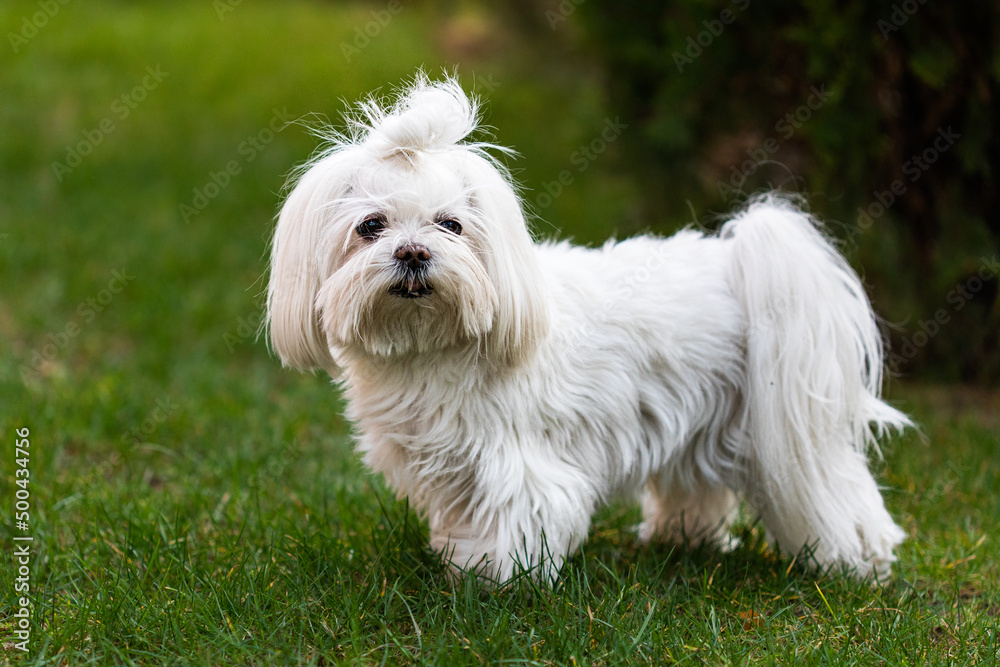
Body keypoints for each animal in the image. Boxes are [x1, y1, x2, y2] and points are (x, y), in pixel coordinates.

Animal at [262, 74, 912, 584]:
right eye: (371, 226)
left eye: (451, 225)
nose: (415, 253)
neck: (432, 349)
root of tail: (736, 259)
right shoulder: (452, 466)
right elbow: (463, 517)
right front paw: (462, 562)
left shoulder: (518, 463)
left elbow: (517, 519)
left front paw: (497, 582)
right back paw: (682, 539)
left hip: (784, 424)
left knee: (837, 493)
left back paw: (856, 564)